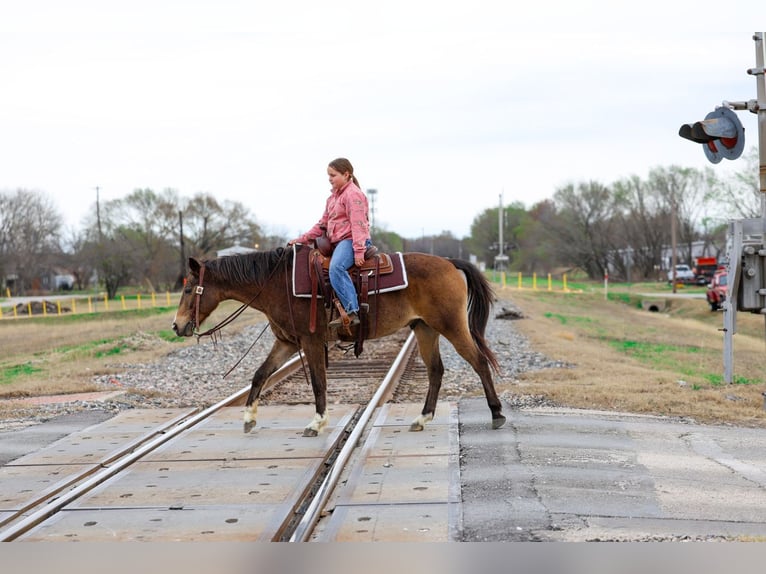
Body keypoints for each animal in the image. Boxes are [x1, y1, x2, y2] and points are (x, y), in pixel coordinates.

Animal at [171, 247, 506, 437]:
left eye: (188, 290)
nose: (176, 326)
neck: (277, 283)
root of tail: (450, 262)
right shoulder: (287, 343)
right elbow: (260, 374)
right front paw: (248, 418)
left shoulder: (310, 341)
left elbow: (319, 382)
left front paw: (317, 422)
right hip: (424, 329)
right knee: (436, 370)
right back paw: (422, 419)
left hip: (451, 326)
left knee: (479, 362)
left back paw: (497, 413)